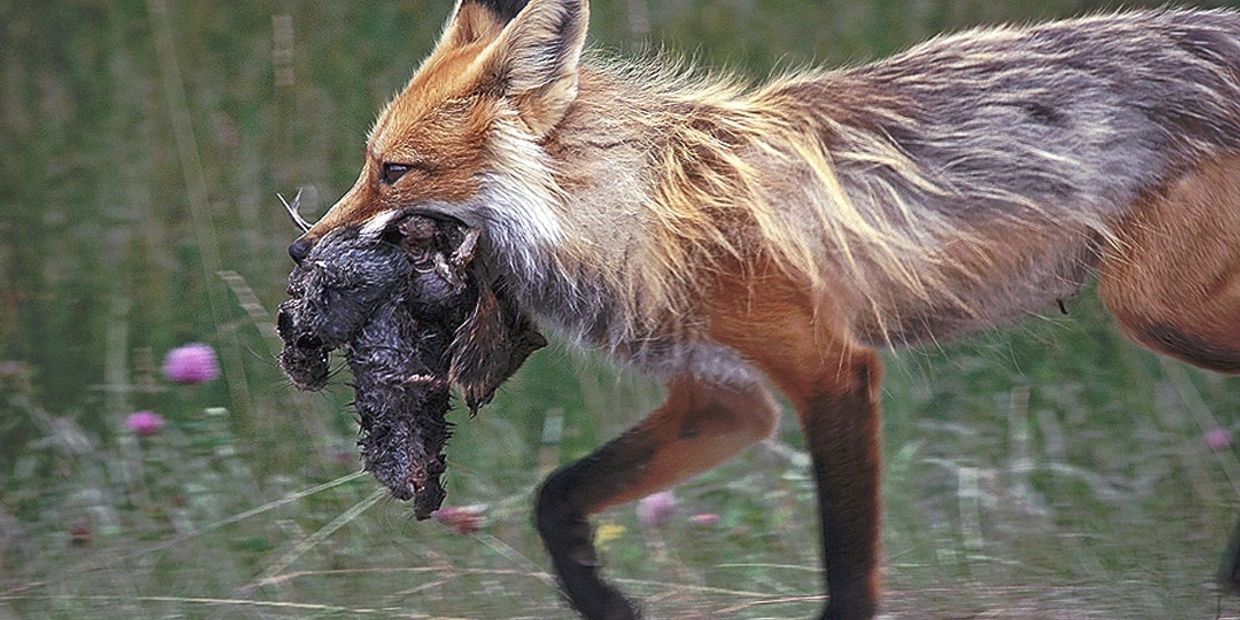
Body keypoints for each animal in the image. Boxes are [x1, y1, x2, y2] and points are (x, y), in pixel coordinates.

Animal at [286, 1, 1240, 618]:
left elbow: (848, 575)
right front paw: (601, 599)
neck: (639, 213)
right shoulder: (723, 399)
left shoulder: (834, 374)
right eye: (368, 163)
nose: (300, 254)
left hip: (1150, 305)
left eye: (395, 171)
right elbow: (557, 499)